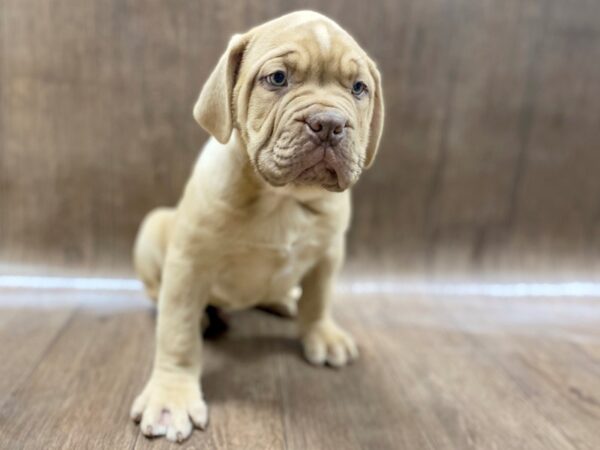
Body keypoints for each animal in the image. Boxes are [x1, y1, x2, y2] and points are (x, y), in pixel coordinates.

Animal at [130, 10, 384, 442]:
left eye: (358, 88)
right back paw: (202, 314)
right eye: (277, 78)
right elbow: (178, 333)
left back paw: (284, 300)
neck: (284, 196)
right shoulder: (189, 262)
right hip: (153, 228)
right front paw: (171, 398)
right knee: (160, 295)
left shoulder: (330, 253)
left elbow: (320, 298)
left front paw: (322, 333)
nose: (330, 123)